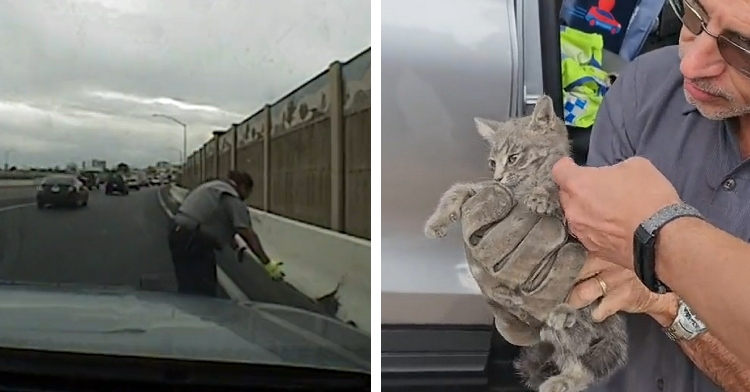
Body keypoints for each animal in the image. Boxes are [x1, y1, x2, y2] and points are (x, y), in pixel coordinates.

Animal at [424, 95, 628, 392]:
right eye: (492, 163)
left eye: (513, 158)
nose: (498, 177)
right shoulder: (496, 193)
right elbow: (460, 189)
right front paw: (437, 221)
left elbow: (558, 193)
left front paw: (544, 194)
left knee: (584, 332)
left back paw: (565, 316)